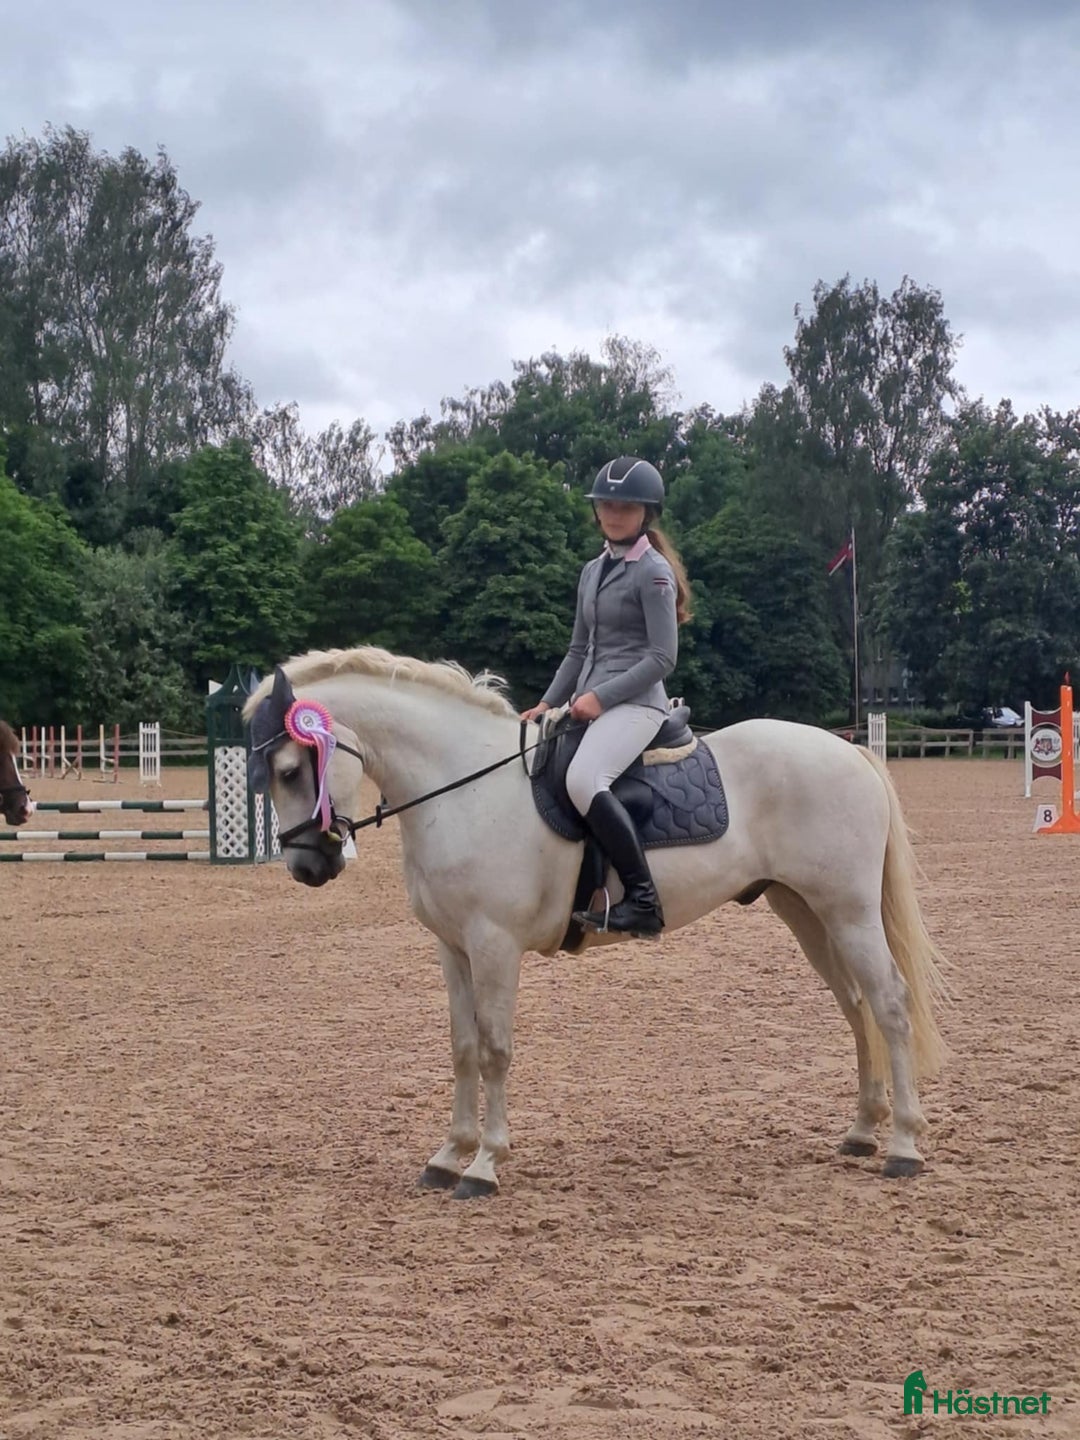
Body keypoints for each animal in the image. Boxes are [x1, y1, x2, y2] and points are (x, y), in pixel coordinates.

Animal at [245, 647, 946, 1198]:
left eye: (290, 770)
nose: (307, 866)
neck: (462, 789)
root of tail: (850, 753)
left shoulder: (494, 945)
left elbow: (495, 1048)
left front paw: (484, 1164)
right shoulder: (453, 947)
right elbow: (463, 1047)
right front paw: (447, 1156)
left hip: (848, 911)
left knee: (889, 1005)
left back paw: (903, 1147)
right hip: (806, 912)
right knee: (856, 1006)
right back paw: (861, 1131)